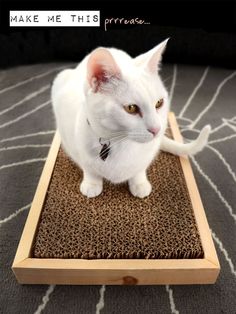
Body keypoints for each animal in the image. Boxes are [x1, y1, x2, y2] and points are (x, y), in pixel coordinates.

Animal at [51, 39, 210, 199]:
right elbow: (88, 167)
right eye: (131, 108)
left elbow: (140, 168)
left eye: (159, 103)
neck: (121, 142)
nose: (156, 129)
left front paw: (139, 182)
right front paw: (92, 183)